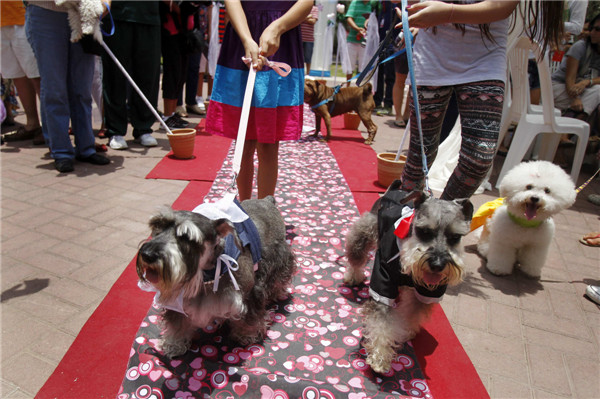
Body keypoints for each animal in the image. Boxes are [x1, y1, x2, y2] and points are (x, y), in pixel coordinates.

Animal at [136, 197, 296, 360]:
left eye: (187, 238)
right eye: (156, 225)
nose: (147, 255)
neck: (206, 276)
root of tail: (266, 200)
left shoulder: (250, 293)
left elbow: (250, 316)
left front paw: (246, 334)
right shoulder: (178, 301)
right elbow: (177, 323)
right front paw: (174, 343)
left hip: (279, 258)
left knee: (279, 278)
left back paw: (277, 292)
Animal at [342, 184, 474, 376]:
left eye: (455, 237)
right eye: (424, 231)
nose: (437, 264)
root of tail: (397, 187)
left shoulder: (428, 292)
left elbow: (411, 314)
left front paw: (404, 331)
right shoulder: (383, 285)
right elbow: (382, 325)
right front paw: (379, 358)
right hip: (365, 231)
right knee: (356, 255)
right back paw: (353, 276)